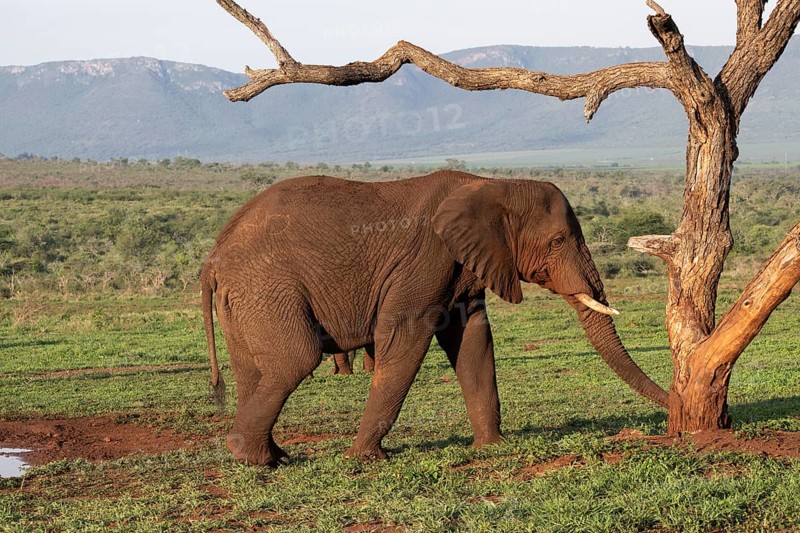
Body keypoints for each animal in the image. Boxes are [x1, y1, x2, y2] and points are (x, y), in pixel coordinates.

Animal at [201, 170, 668, 466]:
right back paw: (253, 458)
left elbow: (474, 339)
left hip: (245, 299)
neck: (491, 184)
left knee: (252, 370)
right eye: (557, 241)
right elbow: (406, 339)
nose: (673, 405)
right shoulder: (425, 259)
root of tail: (214, 257)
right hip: (267, 287)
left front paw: (490, 449)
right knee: (294, 360)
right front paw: (366, 458)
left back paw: (271, 457)